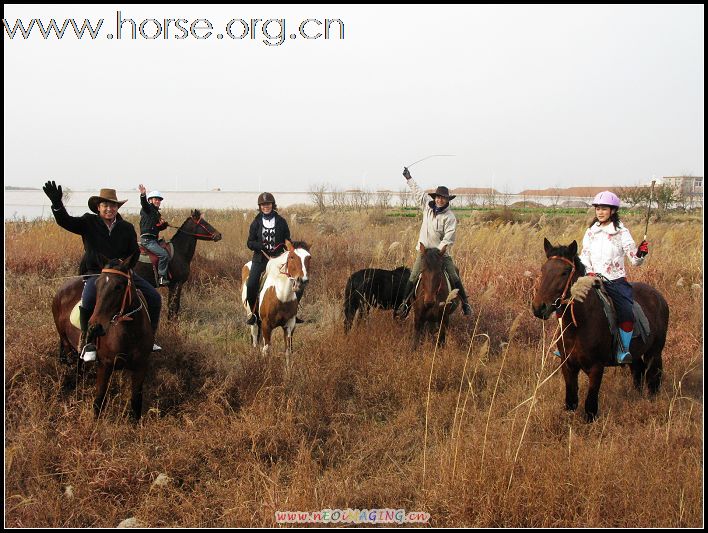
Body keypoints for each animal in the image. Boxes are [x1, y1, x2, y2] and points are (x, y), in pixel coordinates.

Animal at [51, 249, 154, 420]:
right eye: (97, 285)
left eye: (119, 286)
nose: (95, 327)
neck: (129, 333)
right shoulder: (105, 365)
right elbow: (99, 399)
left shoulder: (141, 366)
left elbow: (136, 401)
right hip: (64, 339)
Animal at [532, 240, 668, 420]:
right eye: (543, 269)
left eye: (565, 272)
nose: (539, 308)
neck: (578, 326)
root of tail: (659, 297)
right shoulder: (567, 366)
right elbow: (571, 401)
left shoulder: (596, 367)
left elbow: (590, 404)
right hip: (636, 354)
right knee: (638, 371)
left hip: (654, 352)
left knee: (653, 378)